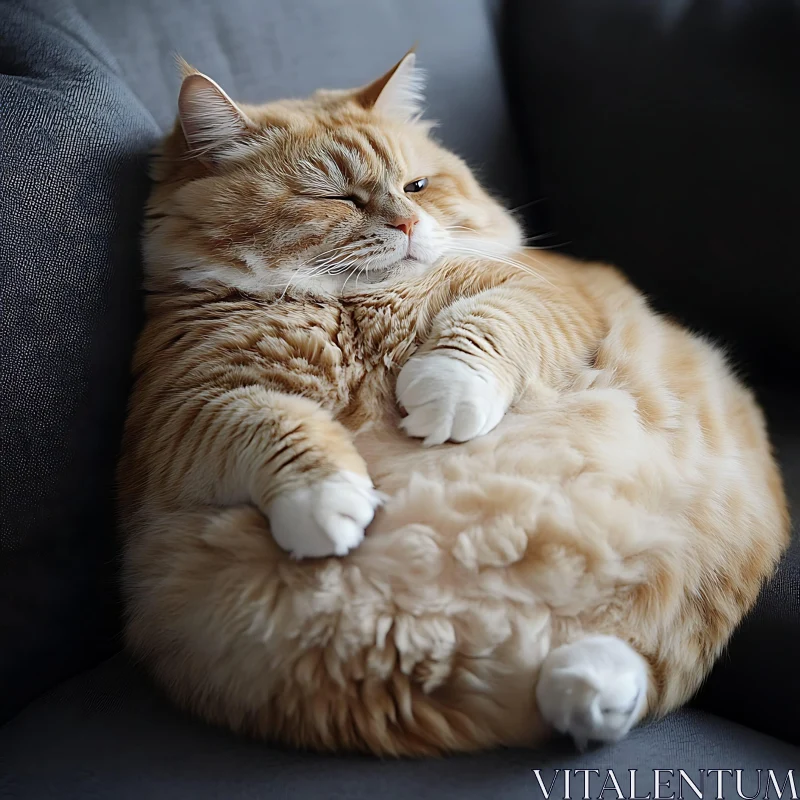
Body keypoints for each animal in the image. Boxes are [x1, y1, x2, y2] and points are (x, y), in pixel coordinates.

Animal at [119, 54, 788, 756]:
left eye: (415, 187)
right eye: (334, 197)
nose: (407, 224)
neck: (354, 304)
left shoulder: (542, 295)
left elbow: (481, 325)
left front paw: (443, 391)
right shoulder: (182, 409)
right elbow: (277, 424)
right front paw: (328, 499)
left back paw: (588, 686)